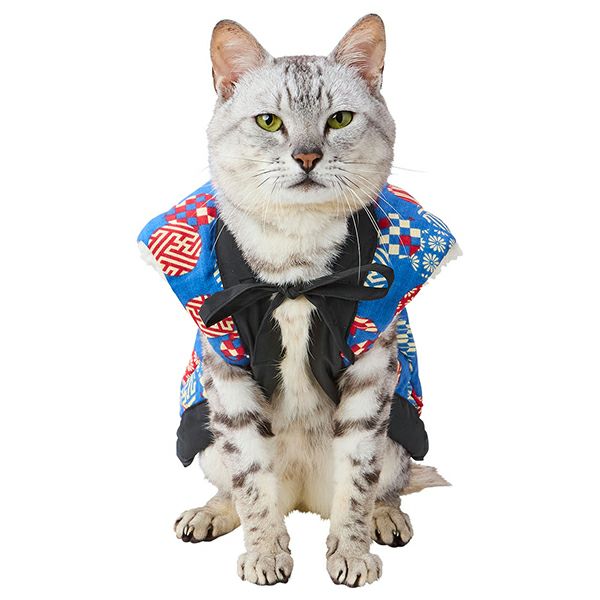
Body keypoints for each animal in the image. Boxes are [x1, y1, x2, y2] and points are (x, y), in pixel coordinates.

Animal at [171, 14, 449, 587]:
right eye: (269, 122)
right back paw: (210, 514)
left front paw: (352, 552)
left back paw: (387, 518)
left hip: (398, 437)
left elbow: (357, 484)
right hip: (205, 437)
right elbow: (251, 485)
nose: (306, 155)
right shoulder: (226, 371)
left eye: (339, 120)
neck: (294, 268)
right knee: (234, 488)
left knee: (388, 485)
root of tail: (301, 497)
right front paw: (265, 553)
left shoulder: (371, 370)